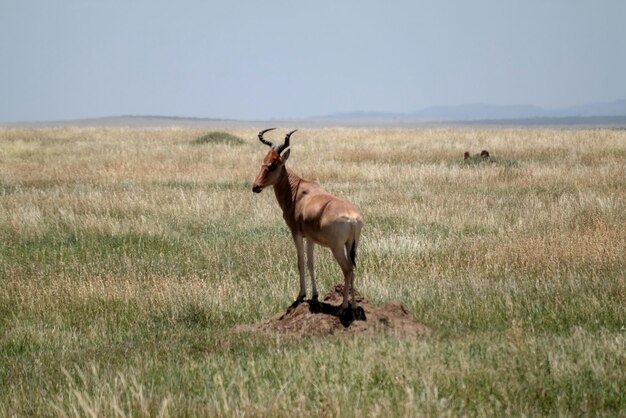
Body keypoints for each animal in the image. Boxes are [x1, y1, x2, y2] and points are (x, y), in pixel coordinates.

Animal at [251, 129, 364, 316]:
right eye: (264, 161)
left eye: (273, 164)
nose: (255, 186)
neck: (297, 191)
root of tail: (352, 218)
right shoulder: (311, 238)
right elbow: (311, 263)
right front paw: (315, 295)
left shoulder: (296, 233)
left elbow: (300, 262)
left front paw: (300, 295)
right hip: (350, 244)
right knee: (353, 269)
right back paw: (354, 307)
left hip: (336, 247)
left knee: (347, 269)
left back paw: (343, 308)